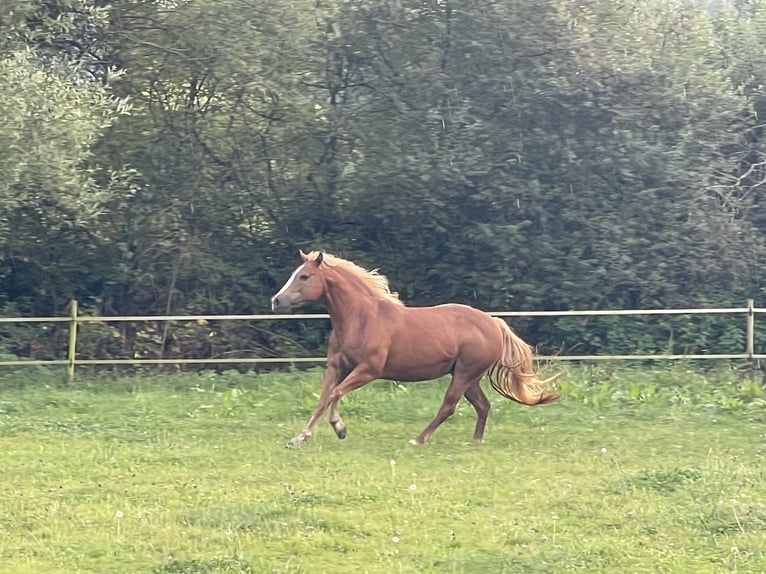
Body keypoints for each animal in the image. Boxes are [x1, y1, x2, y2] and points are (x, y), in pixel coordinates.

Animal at [272, 250, 560, 448]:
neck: (361, 318)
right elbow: (323, 399)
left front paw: (339, 428)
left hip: (464, 375)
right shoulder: (337, 367)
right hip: (469, 378)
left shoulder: (368, 371)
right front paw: (299, 438)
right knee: (483, 405)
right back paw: (475, 440)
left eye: (304, 276)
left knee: (448, 406)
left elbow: (335, 394)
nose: (277, 301)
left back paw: (418, 439)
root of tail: (495, 323)